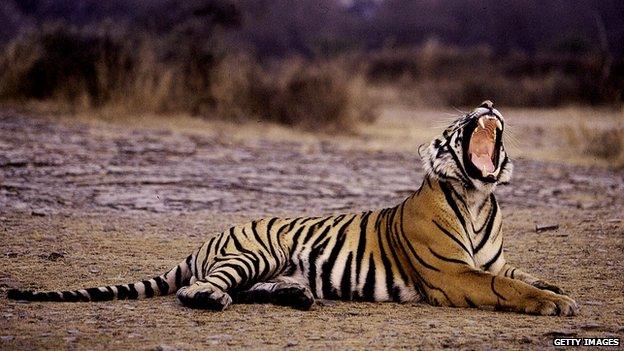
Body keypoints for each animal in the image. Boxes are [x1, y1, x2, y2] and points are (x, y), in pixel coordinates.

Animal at [6, 101, 580, 316]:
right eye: (458, 121)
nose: (486, 104)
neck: (478, 197)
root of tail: (206, 238)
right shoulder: (455, 275)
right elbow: (508, 288)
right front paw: (558, 305)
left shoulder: (494, 261)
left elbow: (524, 274)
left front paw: (560, 289)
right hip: (254, 252)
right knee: (201, 289)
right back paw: (215, 299)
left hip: (271, 265)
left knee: (252, 289)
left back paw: (297, 297)